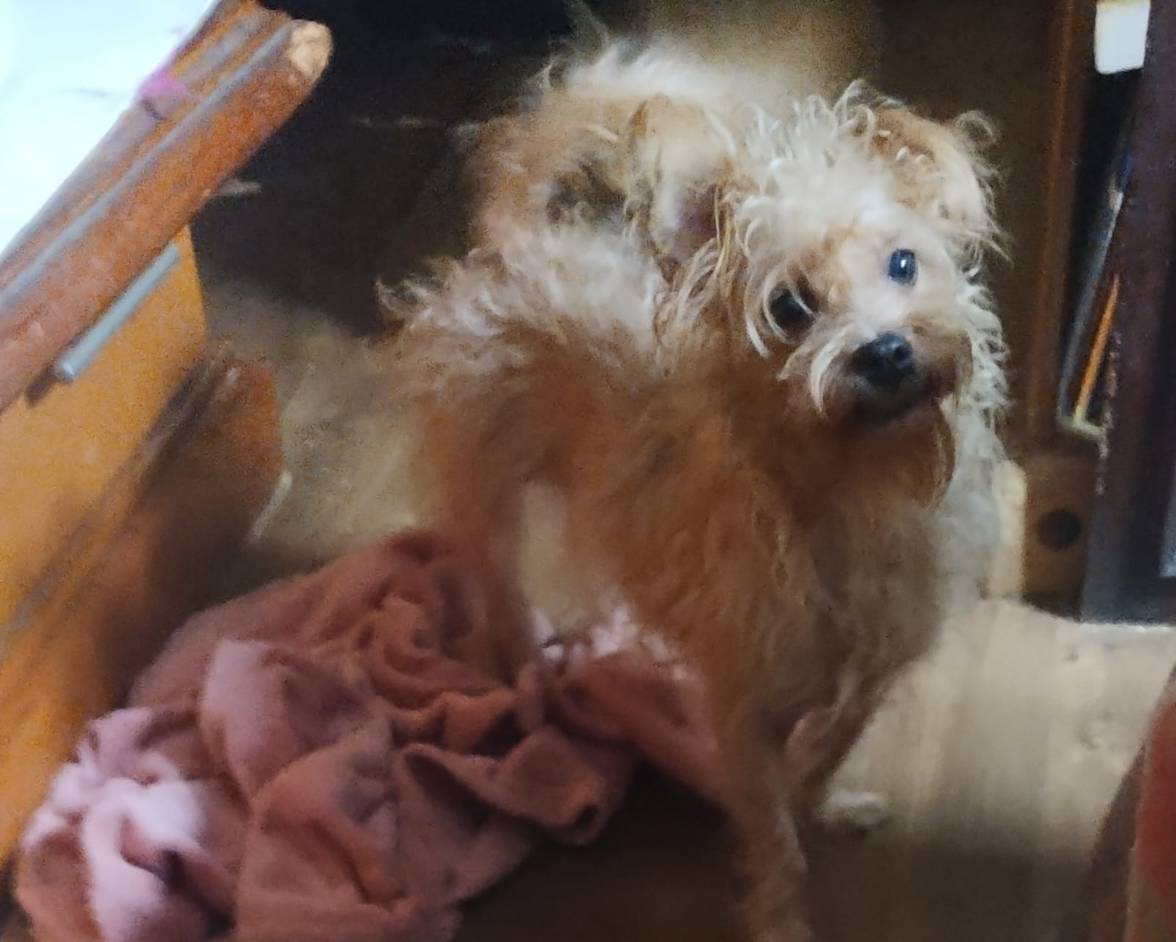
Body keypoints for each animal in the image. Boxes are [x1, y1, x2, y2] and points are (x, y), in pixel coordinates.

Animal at [392, 8, 1007, 940]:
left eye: (903, 264)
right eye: (790, 308)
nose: (886, 351)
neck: (848, 485)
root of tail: (518, 238)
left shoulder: (874, 655)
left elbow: (833, 740)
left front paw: (820, 797)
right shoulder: (742, 703)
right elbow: (773, 834)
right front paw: (783, 910)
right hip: (489, 492)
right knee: (499, 588)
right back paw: (531, 675)